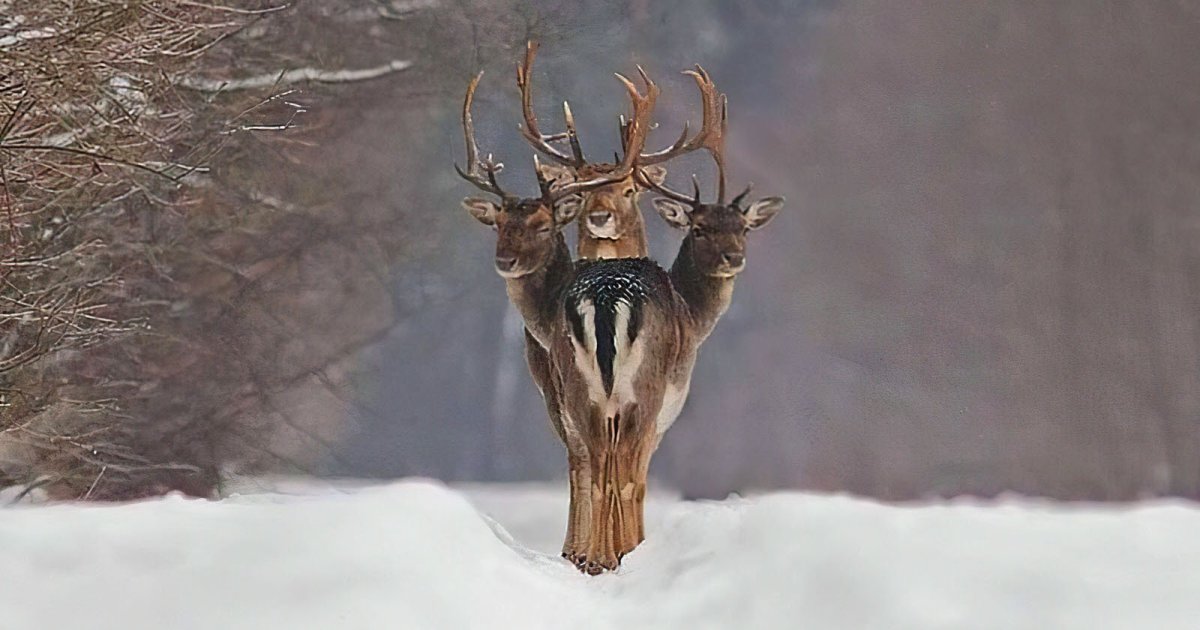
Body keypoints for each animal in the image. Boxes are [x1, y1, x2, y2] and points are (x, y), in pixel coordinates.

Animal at [543, 66, 785, 574]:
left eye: (742, 228)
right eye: (700, 229)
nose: (734, 258)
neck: (692, 313)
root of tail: (605, 298)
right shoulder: (666, 406)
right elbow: (637, 478)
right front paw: (628, 550)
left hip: (579, 390)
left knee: (595, 464)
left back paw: (597, 557)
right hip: (642, 390)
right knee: (621, 471)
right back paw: (615, 555)